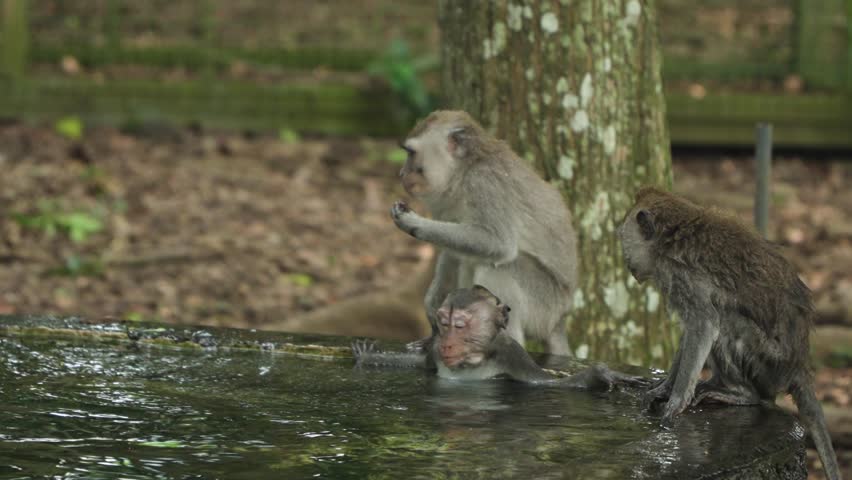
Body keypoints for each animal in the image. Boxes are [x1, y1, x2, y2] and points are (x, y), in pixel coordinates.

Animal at [352, 286, 646, 390]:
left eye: (460, 326)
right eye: (443, 324)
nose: (447, 342)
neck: (477, 358)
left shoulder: (512, 354)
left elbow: (546, 384)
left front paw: (599, 374)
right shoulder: (436, 351)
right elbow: (421, 364)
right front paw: (366, 356)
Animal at [391, 110, 578, 356]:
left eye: (411, 153)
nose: (402, 172)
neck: (464, 171)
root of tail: (560, 320)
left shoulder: (484, 183)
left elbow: (498, 243)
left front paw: (413, 223)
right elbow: (453, 253)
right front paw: (433, 310)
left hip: (545, 306)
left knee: (498, 269)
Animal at [617, 186, 841, 480]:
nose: (627, 262)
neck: (669, 238)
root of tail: (800, 366)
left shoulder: (683, 277)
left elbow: (704, 324)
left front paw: (675, 403)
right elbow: (691, 330)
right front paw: (663, 387)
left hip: (770, 366)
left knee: (727, 323)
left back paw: (744, 395)